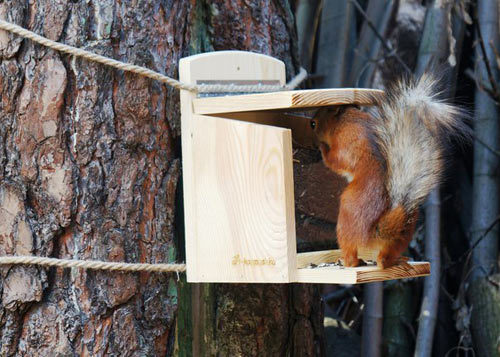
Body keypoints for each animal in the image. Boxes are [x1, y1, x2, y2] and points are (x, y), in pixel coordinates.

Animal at [310, 73, 470, 268]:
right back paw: (396, 260)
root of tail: (379, 230)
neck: (346, 120)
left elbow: (335, 161)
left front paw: (322, 149)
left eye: (314, 124)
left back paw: (348, 261)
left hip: (346, 218)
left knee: (351, 253)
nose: (310, 123)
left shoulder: (347, 145)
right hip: (402, 237)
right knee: (384, 259)